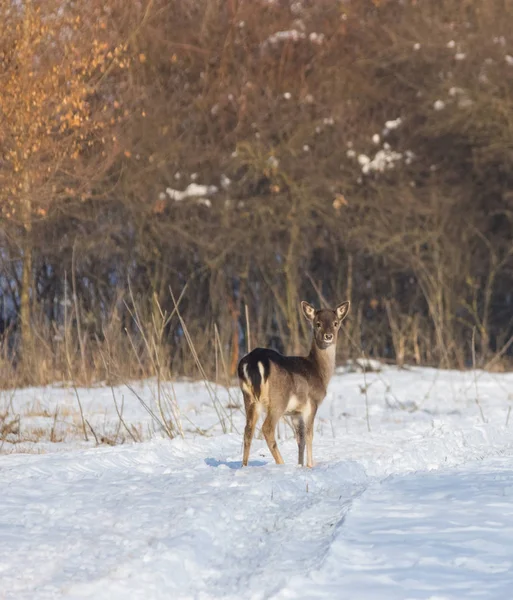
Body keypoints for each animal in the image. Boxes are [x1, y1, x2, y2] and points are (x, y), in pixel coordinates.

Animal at [236, 300, 348, 468]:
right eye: (318, 324)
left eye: (335, 323)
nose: (328, 336)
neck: (319, 372)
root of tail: (254, 361)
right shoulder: (312, 403)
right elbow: (309, 435)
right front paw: (310, 465)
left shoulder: (295, 413)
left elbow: (300, 440)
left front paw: (300, 465)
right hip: (278, 399)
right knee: (267, 428)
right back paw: (280, 463)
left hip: (248, 398)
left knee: (248, 430)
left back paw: (244, 466)